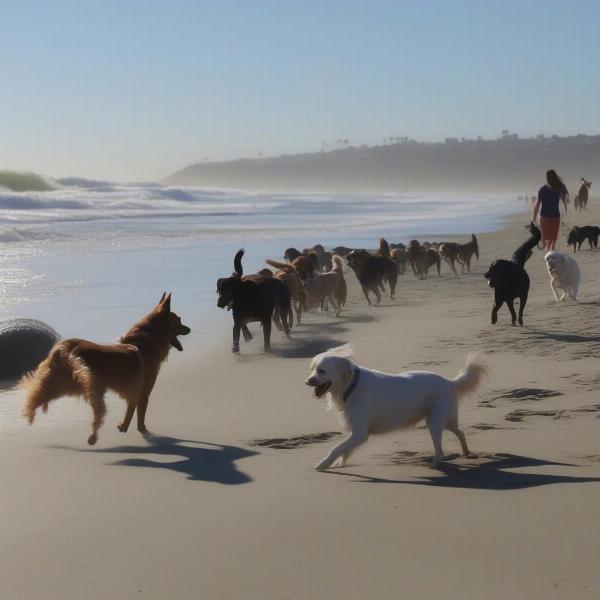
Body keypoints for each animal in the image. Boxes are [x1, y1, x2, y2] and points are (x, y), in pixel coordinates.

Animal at [21, 294, 190, 446]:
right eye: (179, 322)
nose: (189, 329)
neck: (143, 344)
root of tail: (66, 350)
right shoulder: (143, 393)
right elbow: (139, 415)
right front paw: (140, 430)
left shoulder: (134, 393)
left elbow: (131, 408)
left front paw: (125, 427)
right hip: (89, 389)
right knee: (97, 416)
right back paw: (93, 436)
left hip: (63, 384)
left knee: (36, 395)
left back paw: (29, 414)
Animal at [304, 350, 488, 472]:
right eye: (312, 369)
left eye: (321, 370)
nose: (307, 381)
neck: (351, 385)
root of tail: (450, 382)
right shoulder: (355, 432)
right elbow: (344, 449)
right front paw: (340, 463)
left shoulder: (360, 433)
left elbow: (336, 448)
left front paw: (323, 464)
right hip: (447, 420)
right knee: (460, 431)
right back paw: (466, 453)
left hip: (435, 421)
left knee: (441, 450)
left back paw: (435, 464)